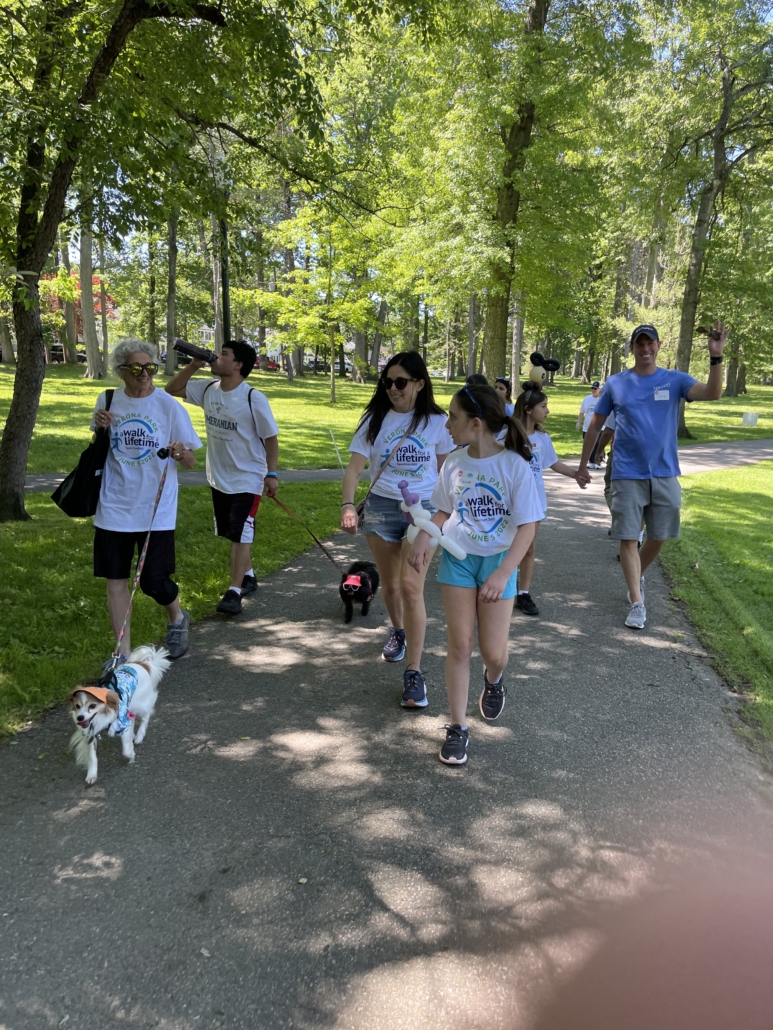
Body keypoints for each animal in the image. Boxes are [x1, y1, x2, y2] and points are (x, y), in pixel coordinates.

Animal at [69, 645, 170, 784]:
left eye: (92, 706)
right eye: (78, 706)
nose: (80, 717)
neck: (100, 718)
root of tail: (143, 664)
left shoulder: (122, 724)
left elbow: (126, 749)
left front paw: (131, 755)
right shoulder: (91, 734)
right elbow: (92, 757)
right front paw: (92, 774)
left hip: (140, 704)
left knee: (146, 716)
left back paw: (139, 736)